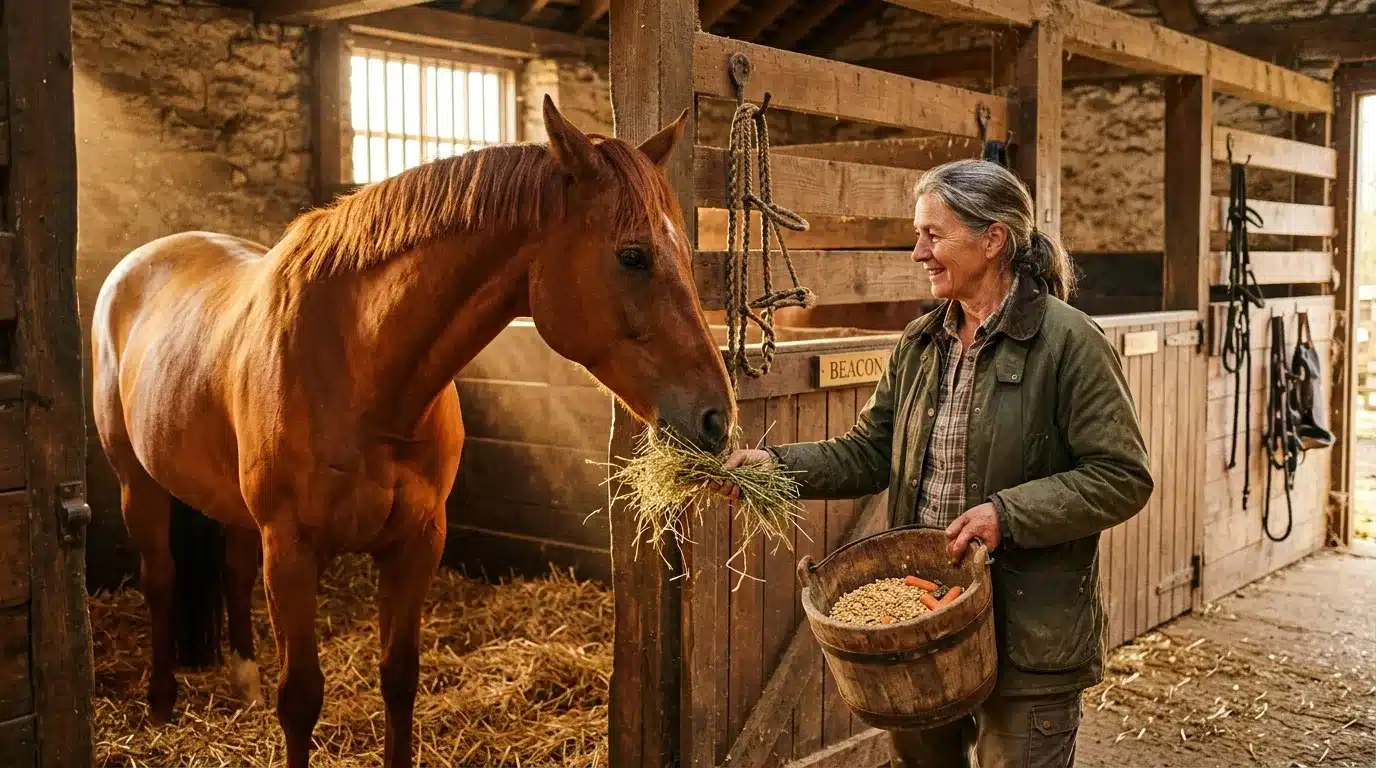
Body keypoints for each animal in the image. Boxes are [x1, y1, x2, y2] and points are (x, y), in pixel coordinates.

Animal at [90, 96, 736, 768]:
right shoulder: (290, 550)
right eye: (632, 255)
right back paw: (161, 703)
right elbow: (300, 698)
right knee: (160, 577)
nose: (716, 417)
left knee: (233, 571)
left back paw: (242, 685)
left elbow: (399, 678)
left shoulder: (418, 541)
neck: (359, 370)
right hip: (137, 484)